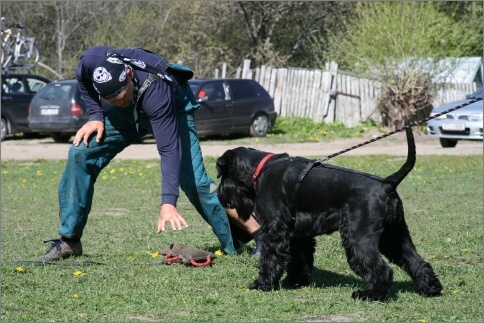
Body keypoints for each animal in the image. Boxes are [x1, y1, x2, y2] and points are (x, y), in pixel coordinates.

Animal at [216, 123, 442, 302]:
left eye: (222, 175)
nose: (219, 193)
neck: (261, 168)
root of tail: (388, 183)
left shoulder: (274, 228)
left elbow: (270, 257)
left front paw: (262, 284)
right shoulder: (299, 233)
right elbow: (300, 258)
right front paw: (295, 281)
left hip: (359, 236)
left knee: (381, 268)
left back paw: (368, 294)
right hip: (394, 235)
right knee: (415, 260)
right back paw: (430, 288)